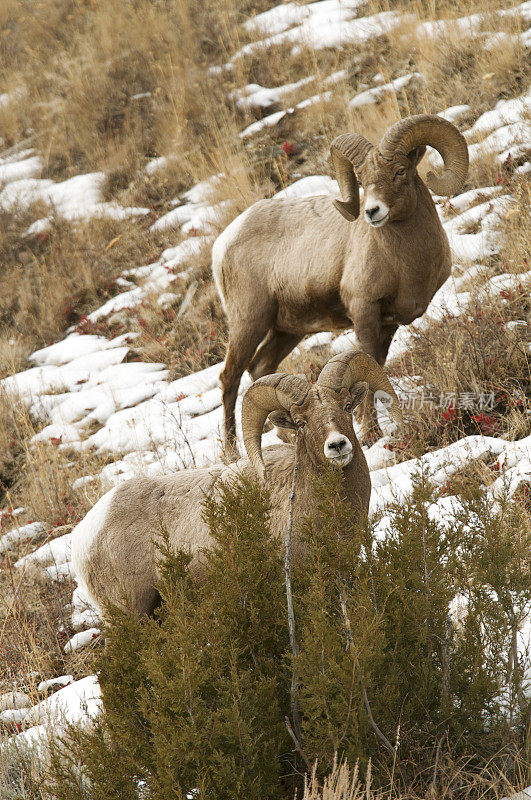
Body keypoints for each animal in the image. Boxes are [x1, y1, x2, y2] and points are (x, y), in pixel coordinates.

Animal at [212, 114, 470, 450]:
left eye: (400, 170)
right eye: (361, 180)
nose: (372, 211)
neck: (405, 264)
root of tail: (223, 242)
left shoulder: (387, 324)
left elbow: (374, 369)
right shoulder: (364, 312)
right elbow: (366, 368)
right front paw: (371, 433)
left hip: (286, 330)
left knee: (260, 368)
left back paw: (287, 439)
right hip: (249, 322)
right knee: (230, 378)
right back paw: (232, 453)